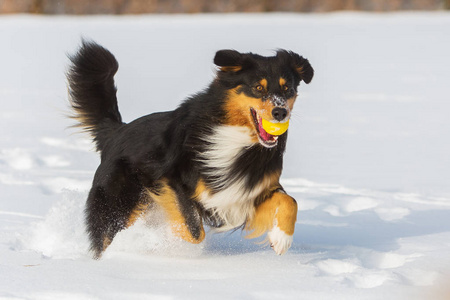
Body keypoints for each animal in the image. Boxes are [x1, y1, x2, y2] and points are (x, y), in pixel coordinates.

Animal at [67, 39, 312, 258]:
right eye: (258, 88)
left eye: (288, 89)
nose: (280, 112)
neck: (236, 136)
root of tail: (116, 131)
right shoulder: (171, 180)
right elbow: (194, 230)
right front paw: (158, 242)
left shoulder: (246, 190)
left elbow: (290, 201)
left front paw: (281, 238)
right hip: (117, 201)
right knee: (106, 234)